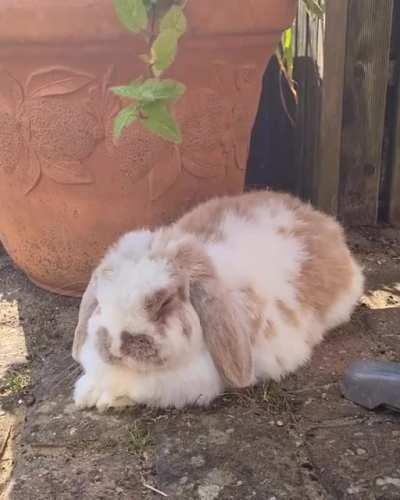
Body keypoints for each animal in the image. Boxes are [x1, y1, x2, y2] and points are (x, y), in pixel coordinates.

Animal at [70, 189, 364, 412]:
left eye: (165, 303)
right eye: (100, 302)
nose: (116, 344)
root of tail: (322, 220)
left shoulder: (190, 381)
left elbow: (141, 385)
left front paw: (102, 396)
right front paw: (87, 391)